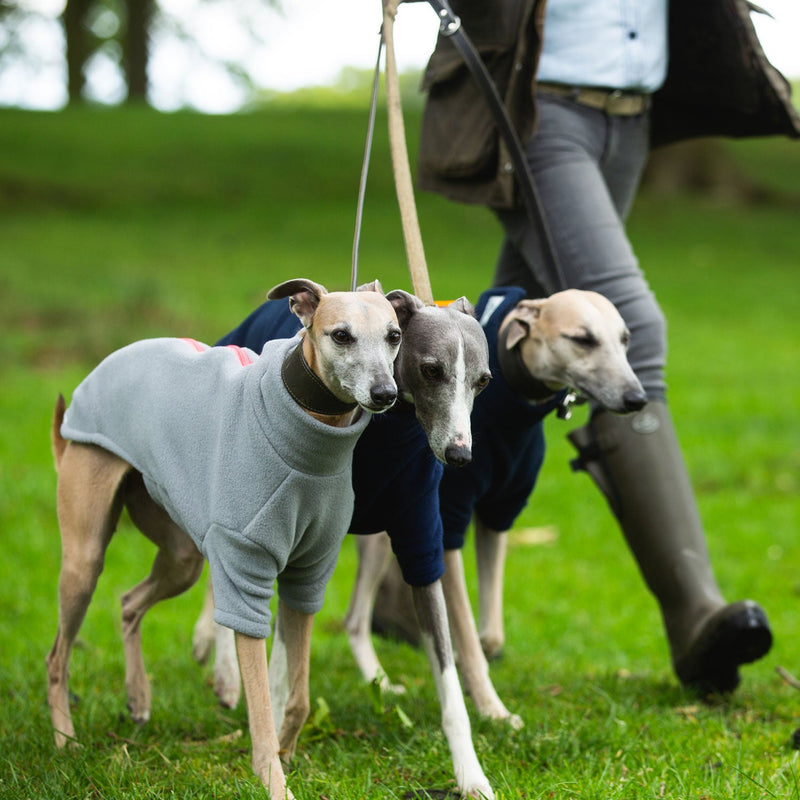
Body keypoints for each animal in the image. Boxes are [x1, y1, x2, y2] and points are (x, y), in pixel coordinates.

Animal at [46, 280, 404, 800]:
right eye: (341, 335)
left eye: (394, 335)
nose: (385, 393)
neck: (311, 428)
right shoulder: (245, 573)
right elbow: (260, 706)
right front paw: (274, 779)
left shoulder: (307, 576)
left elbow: (297, 696)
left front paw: (289, 750)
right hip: (84, 555)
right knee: (57, 655)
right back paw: (65, 739)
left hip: (180, 555)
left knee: (130, 602)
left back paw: (137, 697)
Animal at [191, 290, 496, 796]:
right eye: (432, 370)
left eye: (484, 381)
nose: (460, 455)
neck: (387, 429)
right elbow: (279, 662)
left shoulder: (420, 541)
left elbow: (448, 678)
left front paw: (471, 774)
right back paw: (222, 669)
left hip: (375, 542)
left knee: (354, 617)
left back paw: (378, 679)